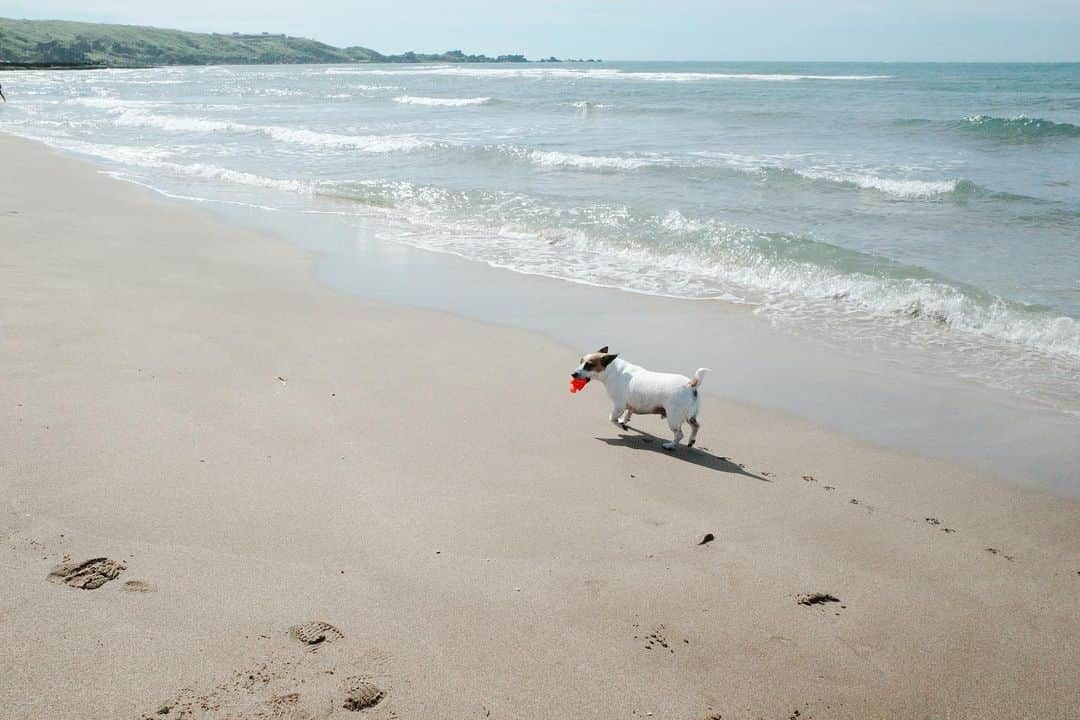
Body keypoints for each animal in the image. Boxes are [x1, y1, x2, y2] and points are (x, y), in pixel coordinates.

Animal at [570, 347, 712, 451]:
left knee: (679, 434)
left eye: (588, 365)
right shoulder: (629, 406)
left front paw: (621, 426)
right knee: (696, 426)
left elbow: (612, 418)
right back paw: (691, 441)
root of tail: (691, 384)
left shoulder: (619, 406)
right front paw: (624, 421)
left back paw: (670, 445)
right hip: (690, 416)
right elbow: (627, 414)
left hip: (674, 418)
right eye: (580, 361)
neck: (612, 370)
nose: (573, 374)